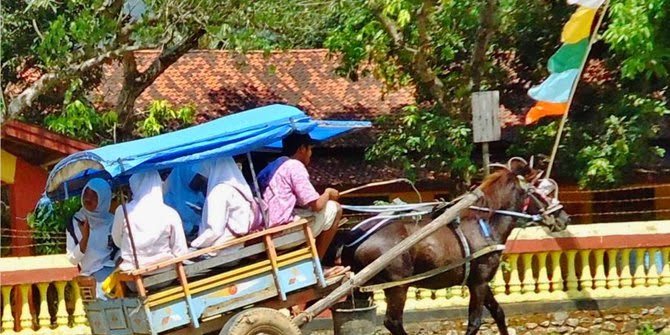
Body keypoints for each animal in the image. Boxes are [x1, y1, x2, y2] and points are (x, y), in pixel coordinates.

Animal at [342, 160, 572, 335]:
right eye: (543, 192)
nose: (564, 218)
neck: (485, 225)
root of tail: (355, 235)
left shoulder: (480, 280)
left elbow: (498, 312)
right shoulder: (478, 282)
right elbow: (475, 322)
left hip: (361, 289)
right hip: (397, 286)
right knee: (393, 322)